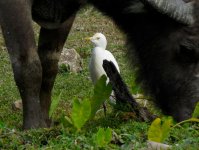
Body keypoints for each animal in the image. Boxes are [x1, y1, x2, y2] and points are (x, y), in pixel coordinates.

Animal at [0, 0, 198, 129]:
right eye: (188, 49)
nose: (190, 115)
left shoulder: (63, 18)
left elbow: (49, 66)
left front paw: (46, 122)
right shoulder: (13, 6)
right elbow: (29, 66)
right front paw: (33, 126)